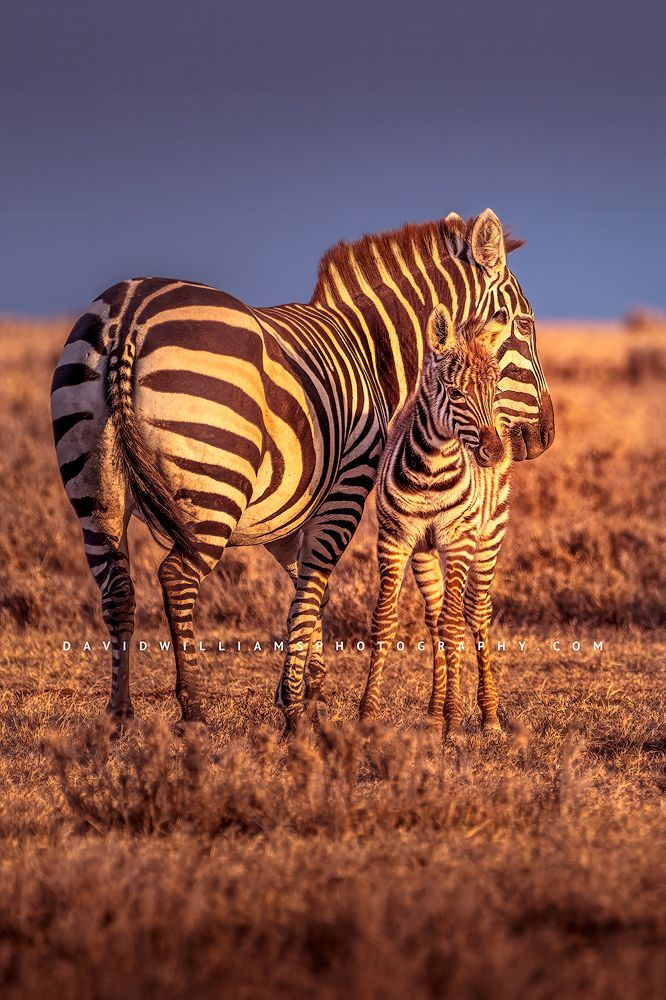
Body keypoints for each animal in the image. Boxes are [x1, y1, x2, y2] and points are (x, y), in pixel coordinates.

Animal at [359, 306, 510, 734]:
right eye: (456, 393)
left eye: (494, 390)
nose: (494, 453)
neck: (431, 468)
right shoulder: (394, 538)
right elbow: (385, 621)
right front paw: (367, 713)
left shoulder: (459, 539)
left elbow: (455, 624)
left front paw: (454, 721)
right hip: (424, 552)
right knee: (434, 616)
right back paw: (432, 709)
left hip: (489, 536)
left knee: (475, 612)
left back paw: (488, 715)